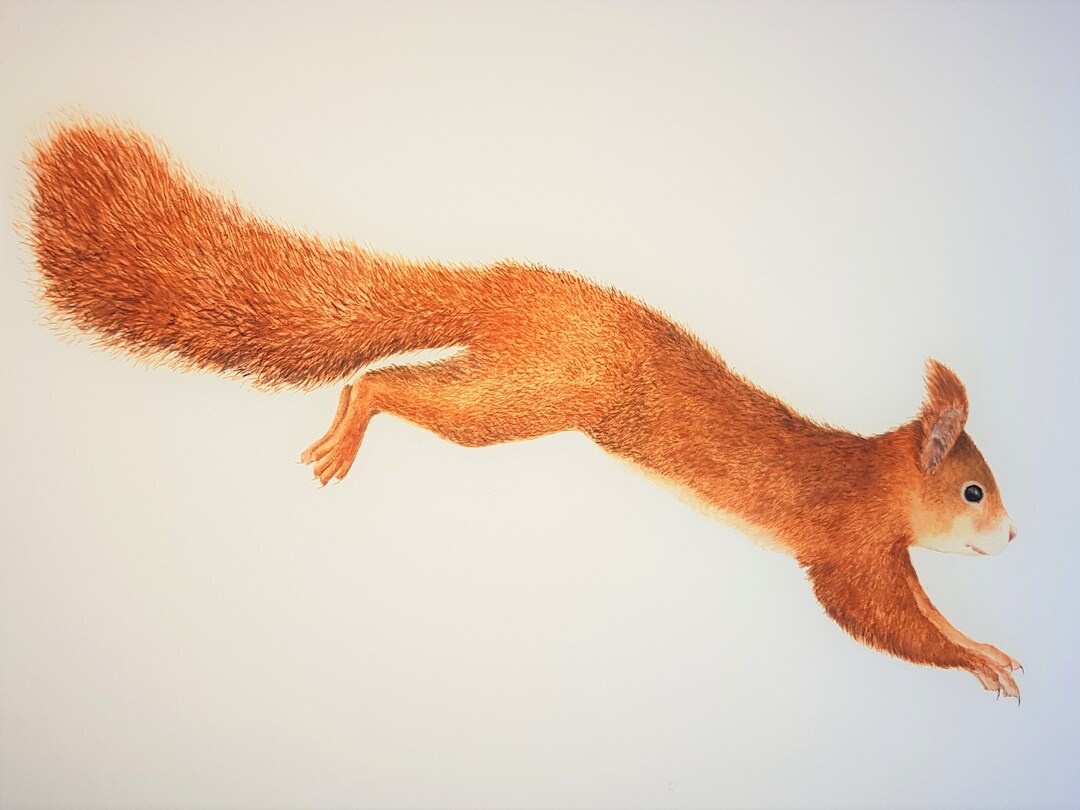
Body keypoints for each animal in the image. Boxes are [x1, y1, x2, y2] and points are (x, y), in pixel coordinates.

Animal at [26, 121, 1021, 699]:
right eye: (975, 492)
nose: (1015, 538)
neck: (877, 473)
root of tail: (506, 290)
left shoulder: (888, 555)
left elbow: (922, 614)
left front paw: (990, 649)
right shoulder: (848, 547)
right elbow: (880, 619)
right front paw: (982, 662)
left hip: (512, 378)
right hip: (524, 394)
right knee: (385, 385)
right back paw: (345, 436)